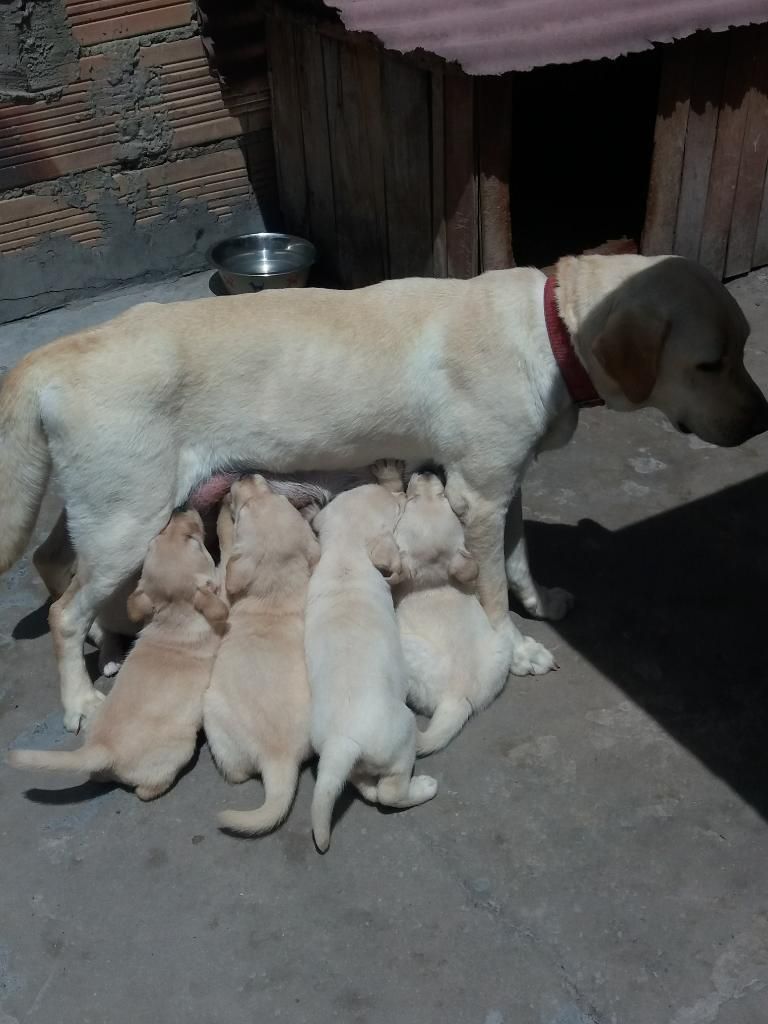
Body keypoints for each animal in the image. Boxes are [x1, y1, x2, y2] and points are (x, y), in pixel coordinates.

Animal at [8, 512, 225, 798]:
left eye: (155, 540)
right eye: (195, 542)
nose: (180, 512)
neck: (174, 614)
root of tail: (102, 748)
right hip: (177, 751)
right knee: (146, 789)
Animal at [204, 475, 319, 835]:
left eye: (244, 510)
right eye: (277, 497)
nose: (245, 476)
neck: (277, 589)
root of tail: (278, 760)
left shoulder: (224, 583)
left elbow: (226, 549)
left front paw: (221, 515)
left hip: (213, 717)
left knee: (237, 773)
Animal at [307, 460, 438, 851]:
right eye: (397, 510)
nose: (401, 492)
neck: (344, 556)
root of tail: (342, 742)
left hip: (352, 763)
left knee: (364, 786)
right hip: (402, 737)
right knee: (389, 793)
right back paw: (423, 788)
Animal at [397, 471, 518, 753]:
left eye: (411, 501)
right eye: (444, 497)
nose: (426, 472)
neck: (434, 579)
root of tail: (458, 699)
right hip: (500, 646)